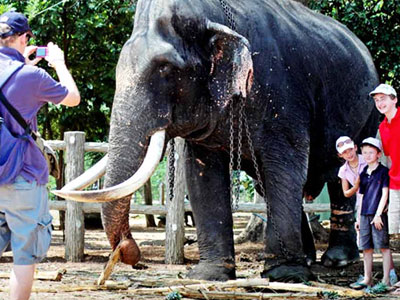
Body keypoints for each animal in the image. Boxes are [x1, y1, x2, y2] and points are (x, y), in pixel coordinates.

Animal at [55, 0, 378, 282]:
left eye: (165, 69)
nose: (129, 251)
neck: (213, 14)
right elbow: (202, 175)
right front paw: (209, 275)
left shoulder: (283, 95)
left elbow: (285, 166)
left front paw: (285, 275)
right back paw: (310, 258)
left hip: (369, 114)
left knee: (338, 175)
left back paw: (337, 260)